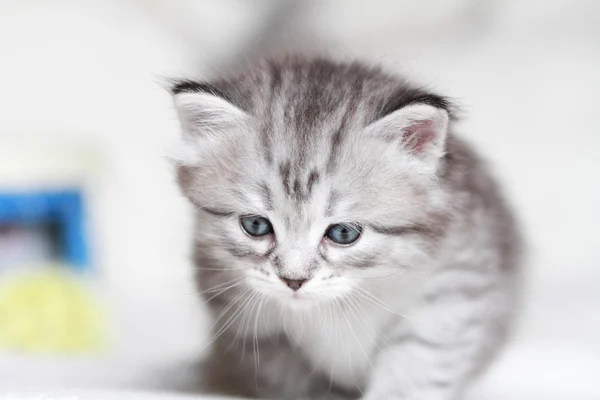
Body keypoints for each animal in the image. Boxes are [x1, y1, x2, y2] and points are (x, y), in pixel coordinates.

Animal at [168, 57, 520, 400]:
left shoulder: (452, 292)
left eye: (343, 234)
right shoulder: (252, 331)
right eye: (255, 225)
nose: (293, 281)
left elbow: (414, 372)